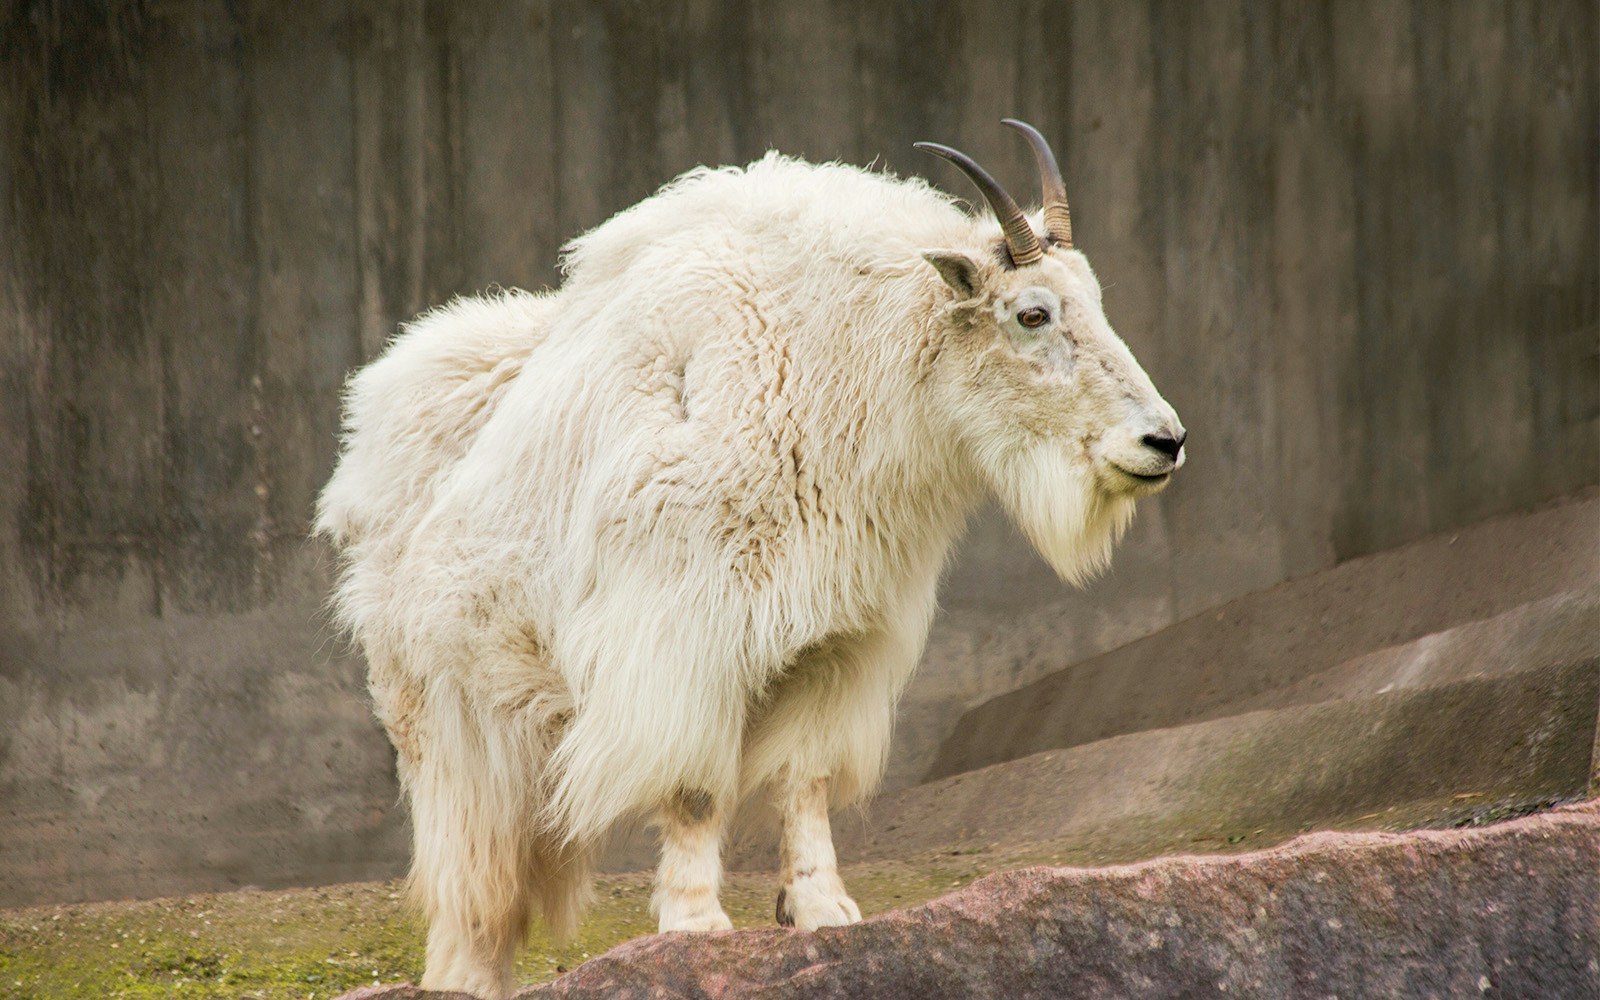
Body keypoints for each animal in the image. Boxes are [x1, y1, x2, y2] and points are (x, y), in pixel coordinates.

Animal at [316, 120, 1184, 998]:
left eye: (1095, 300)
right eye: (1032, 313)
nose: (1164, 440)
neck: (830, 365)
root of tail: (368, 432)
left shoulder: (835, 646)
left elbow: (805, 782)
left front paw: (823, 909)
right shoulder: (682, 639)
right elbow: (695, 789)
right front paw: (696, 924)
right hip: (441, 712)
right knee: (472, 869)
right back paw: (464, 971)